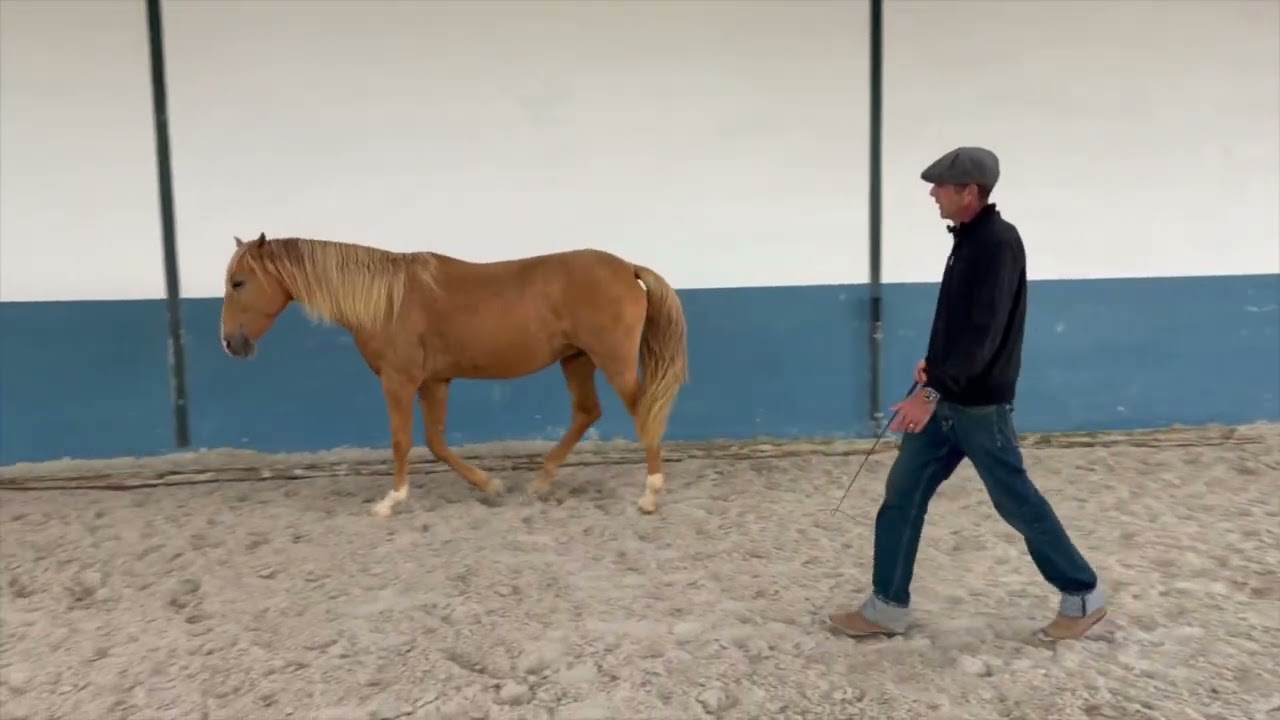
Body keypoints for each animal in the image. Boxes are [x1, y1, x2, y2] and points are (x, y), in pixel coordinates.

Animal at [218, 233, 690, 517]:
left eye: (239, 282)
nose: (230, 344)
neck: (388, 302)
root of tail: (627, 267)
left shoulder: (399, 380)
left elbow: (402, 441)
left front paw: (392, 500)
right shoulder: (435, 382)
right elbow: (437, 443)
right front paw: (490, 485)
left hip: (611, 360)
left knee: (642, 411)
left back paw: (650, 493)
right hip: (576, 359)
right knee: (587, 412)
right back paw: (539, 483)